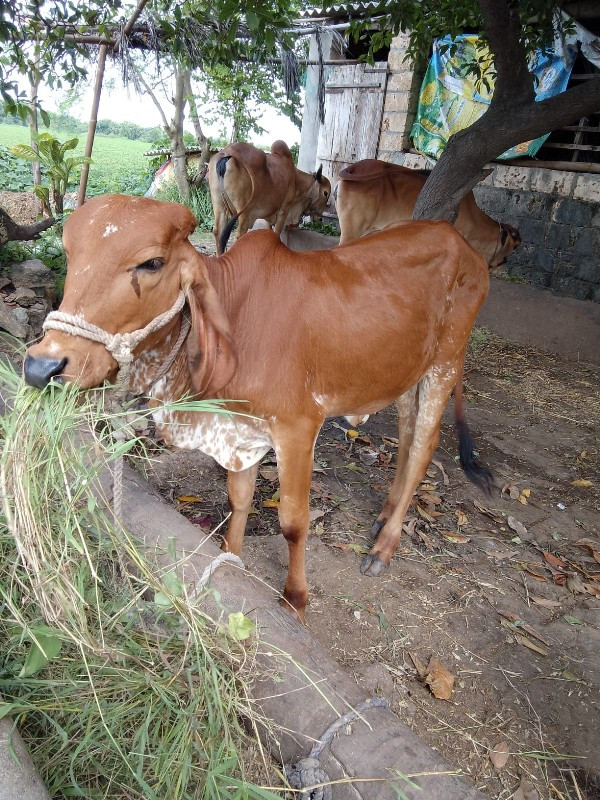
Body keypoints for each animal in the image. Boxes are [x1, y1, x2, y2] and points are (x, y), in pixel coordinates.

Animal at [23, 194, 492, 620]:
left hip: (445, 364)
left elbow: (294, 521)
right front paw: (232, 556)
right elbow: (239, 498)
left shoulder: (297, 428)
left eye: (152, 263)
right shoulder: (240, 430)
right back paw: (384, 517)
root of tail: (458, 239)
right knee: (409, 438)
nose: (42, 366)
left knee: (424, 447)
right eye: (70, 252)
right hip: (406, 375)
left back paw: (384, 546)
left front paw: (295, 599)